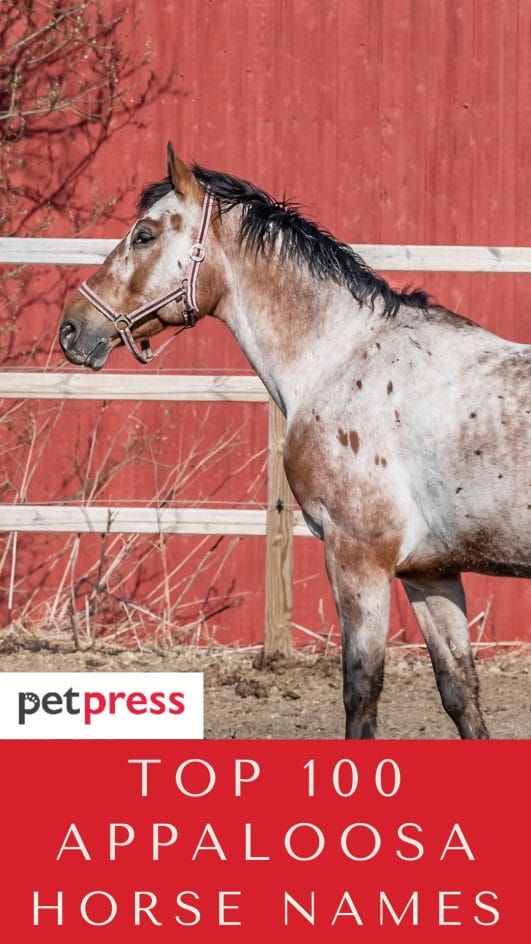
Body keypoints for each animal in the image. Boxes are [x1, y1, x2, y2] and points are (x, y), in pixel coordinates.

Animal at [60, 143, 531, 739]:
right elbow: (460, 694)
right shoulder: (430, 572)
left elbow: (361, 695)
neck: (342, 355)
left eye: (143, 235)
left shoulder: (357, 559)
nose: (72, 329)